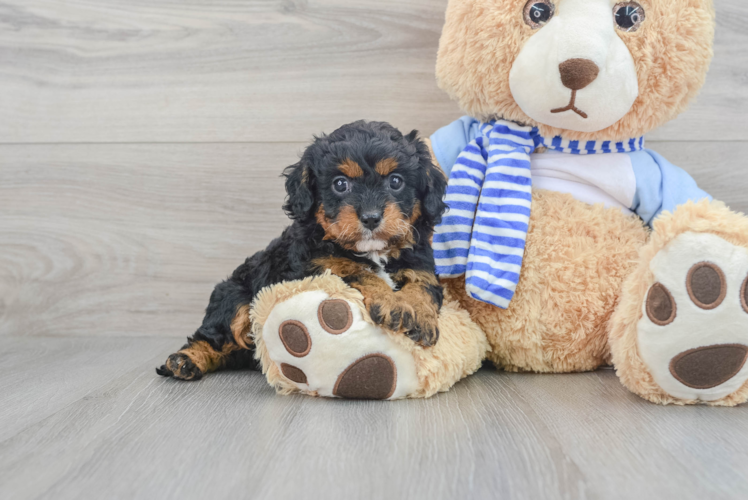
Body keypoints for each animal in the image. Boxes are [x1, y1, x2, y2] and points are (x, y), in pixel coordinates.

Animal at [156, 120, 444, 378]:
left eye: (395, 181)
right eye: (340, 184)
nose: (371, 218)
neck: (372, 251)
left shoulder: (420, 266)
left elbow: (422, 287)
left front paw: (420, 316)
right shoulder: (317, 269)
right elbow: (361, 273)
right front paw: (391, 303)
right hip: (234, 296)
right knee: (216, 335)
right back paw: (186, 360)